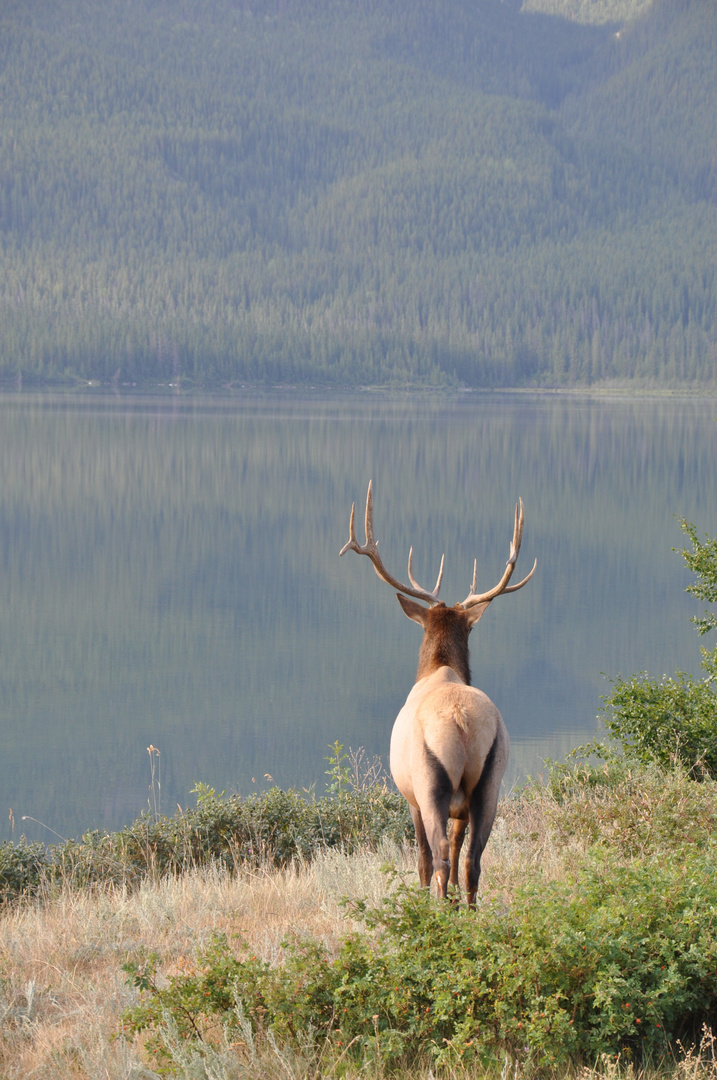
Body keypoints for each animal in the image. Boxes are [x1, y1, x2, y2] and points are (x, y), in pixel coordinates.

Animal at [339, 481, 535, 902]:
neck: (439, 670)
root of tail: (460, 719)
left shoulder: (409, 795)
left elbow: (423, 860)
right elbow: (462, 850)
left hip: (431, 784)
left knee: (440, 854)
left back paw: (439, 907)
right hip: (490, 782)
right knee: (472, 858)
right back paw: (468, 908)